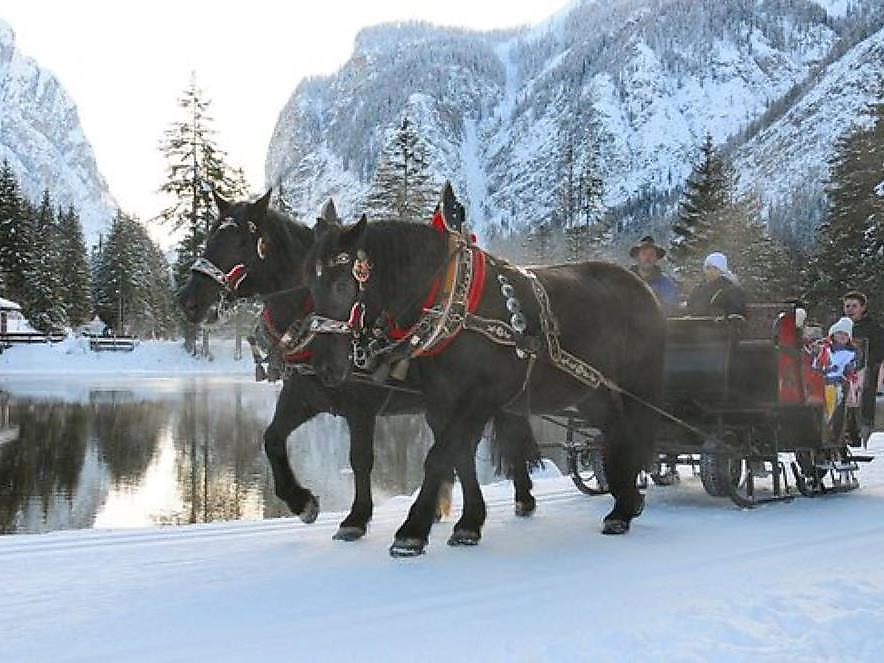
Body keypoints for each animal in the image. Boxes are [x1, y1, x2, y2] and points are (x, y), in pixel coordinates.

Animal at [176, 191, 541, 540]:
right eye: (211, 235)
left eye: (239, 240)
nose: (187, 300)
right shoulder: (303, 396)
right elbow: (272, 439)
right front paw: (302, 502)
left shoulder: (361, 405)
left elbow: (360, 460)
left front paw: (356, 518)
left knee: (495, 439)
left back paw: (518, 498)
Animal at [305, 215, 667, 556]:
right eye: (310, 284)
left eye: (341, 285)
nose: (323, 366)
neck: (453, 304)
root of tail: (643, 288)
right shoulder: (440, 401)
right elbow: (460, 457)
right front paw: (469, 523)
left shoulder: (481, 396)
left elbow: (438, 457)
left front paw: (412, 531)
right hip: (591, 392)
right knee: (616, 433)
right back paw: (625, 503)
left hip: (639, 384)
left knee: (634, 432)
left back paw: (623, 508)